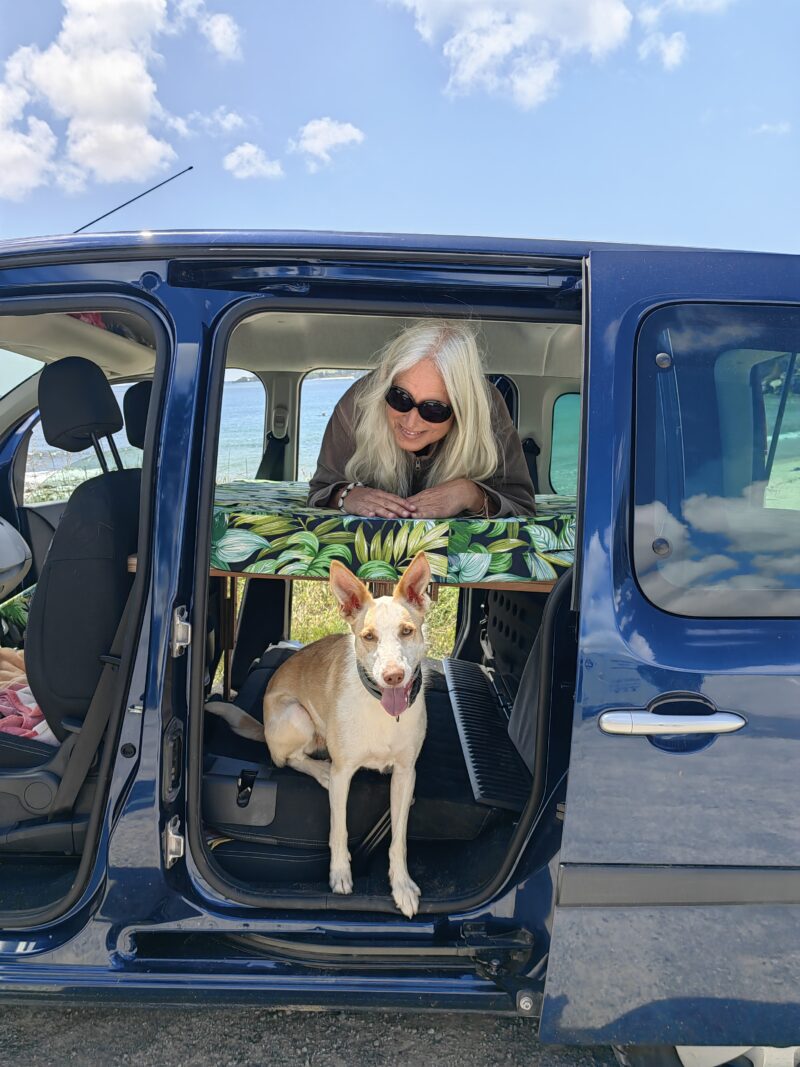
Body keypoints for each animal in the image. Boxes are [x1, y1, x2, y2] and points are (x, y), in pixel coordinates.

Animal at [206, 550, 433, 917]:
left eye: (407, 631)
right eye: (368, 636)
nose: (394, 677)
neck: (380, 710)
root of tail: (264, 727)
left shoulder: (405, 774)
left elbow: (398, 841)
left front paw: (401, 886)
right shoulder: (345, 775)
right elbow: (338, 829)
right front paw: (339, 874)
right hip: (298, 717)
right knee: (287, 759)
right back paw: (319, 769)